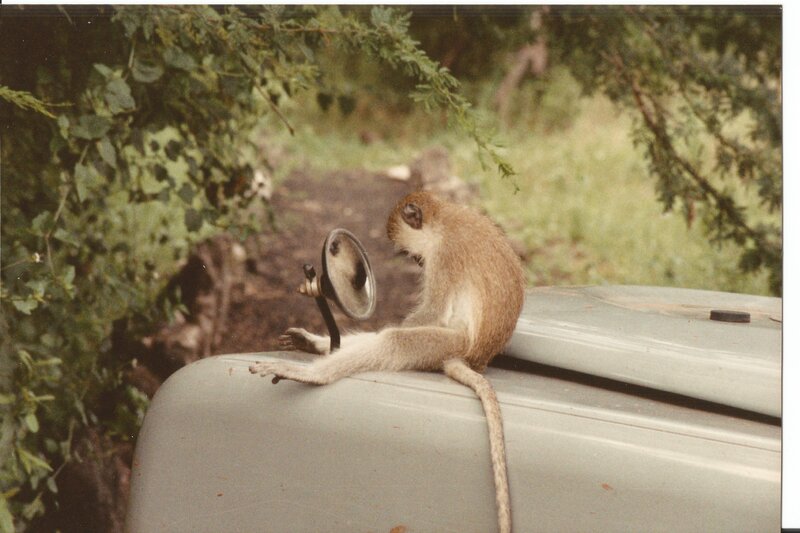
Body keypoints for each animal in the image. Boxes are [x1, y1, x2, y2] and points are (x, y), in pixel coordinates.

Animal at [249, 191, 526, 533]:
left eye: (410, 254)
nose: (417, 262)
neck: (445, 218)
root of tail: (475, 358)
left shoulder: (444, 256)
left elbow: (431, 312)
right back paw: (316, 344)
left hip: (445, 342)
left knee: (392, 341)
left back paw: (312, 374)